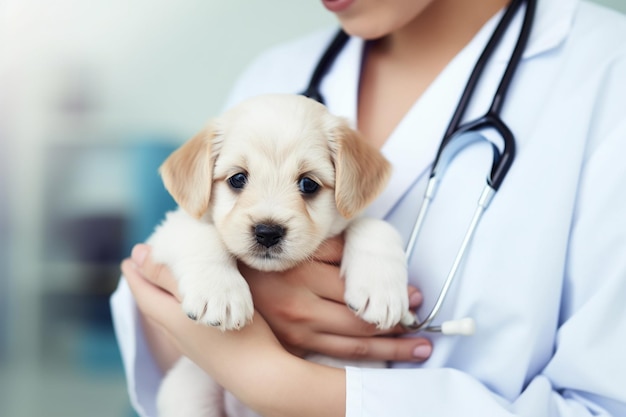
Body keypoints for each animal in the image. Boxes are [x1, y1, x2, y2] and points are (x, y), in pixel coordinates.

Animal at [148, 94, 414, 416]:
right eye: (237, 178)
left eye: (308, 183)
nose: (267, 232)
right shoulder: (166, 230)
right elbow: (201, 233)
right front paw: (220, 293)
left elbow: (375, 225)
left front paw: (381, 290)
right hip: (189, 387)